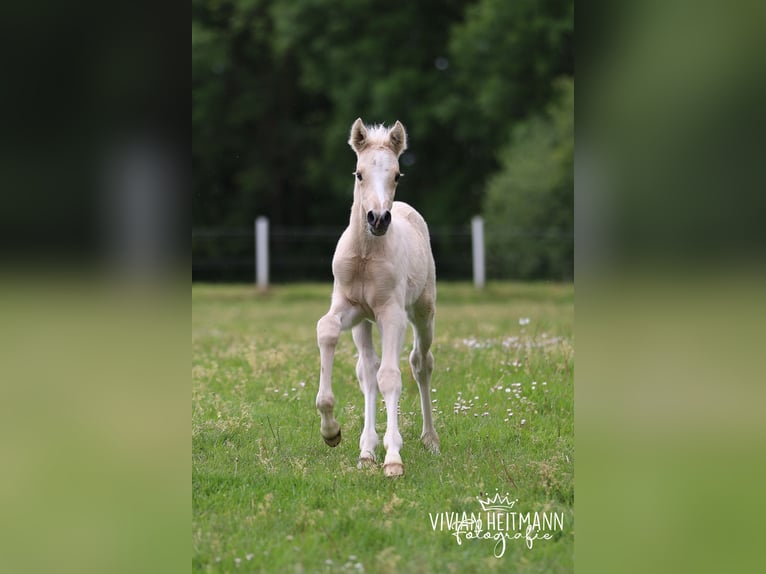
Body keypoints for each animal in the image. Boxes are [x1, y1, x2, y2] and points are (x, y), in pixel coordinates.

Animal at [315, 118, 440, 477]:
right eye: (358, 173)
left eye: (397, 174)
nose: (378, 219)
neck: (366, 255)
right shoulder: (350, 308)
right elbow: (326, 329)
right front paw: (331, 431)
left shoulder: (392, 314)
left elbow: (391, 376)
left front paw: (394, 458)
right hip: (364, 324)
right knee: (367, 371)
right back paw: (366, 450)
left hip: (423, 311)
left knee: (419, 363)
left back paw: (429, 439)